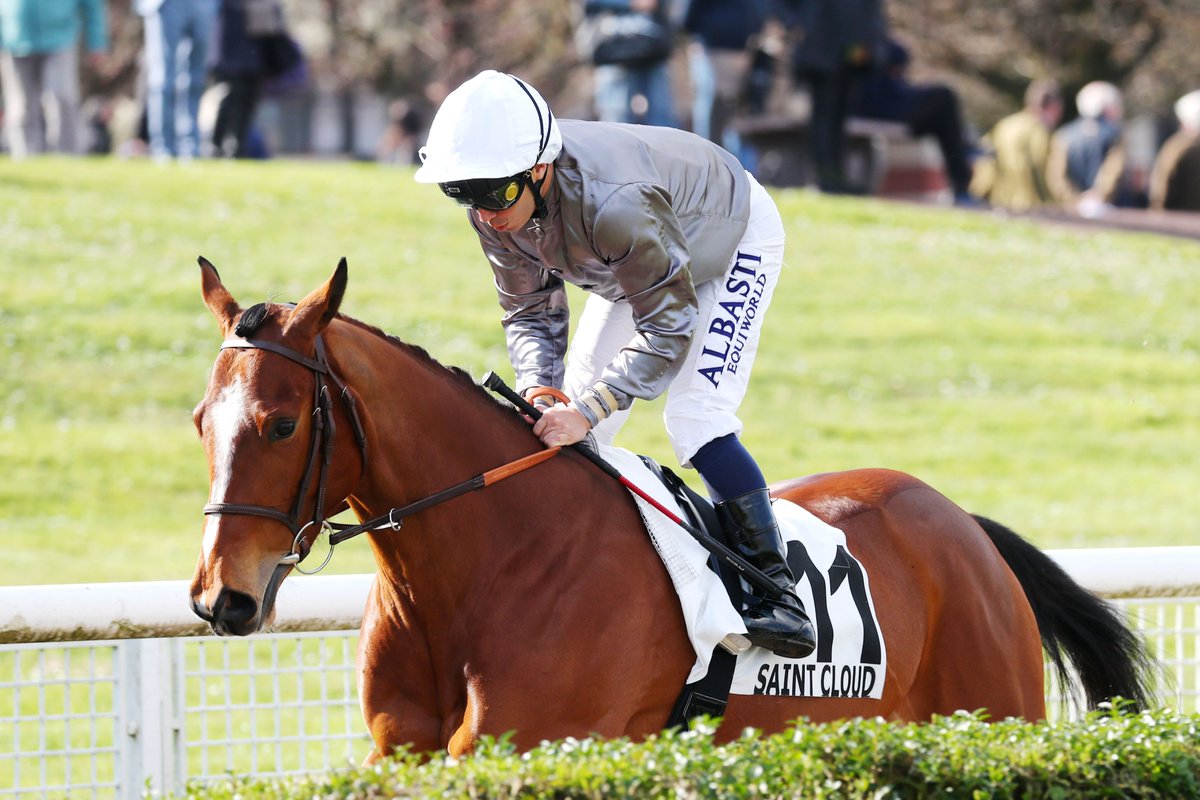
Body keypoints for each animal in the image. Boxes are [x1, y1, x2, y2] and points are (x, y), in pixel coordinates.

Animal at [192, 257, 1156, 762]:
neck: (481, 571)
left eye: (281, 423)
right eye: (203, 420)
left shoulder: (543, 747)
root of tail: (964, 526)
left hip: (996, 718)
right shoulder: (403, 754)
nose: (218, 598)